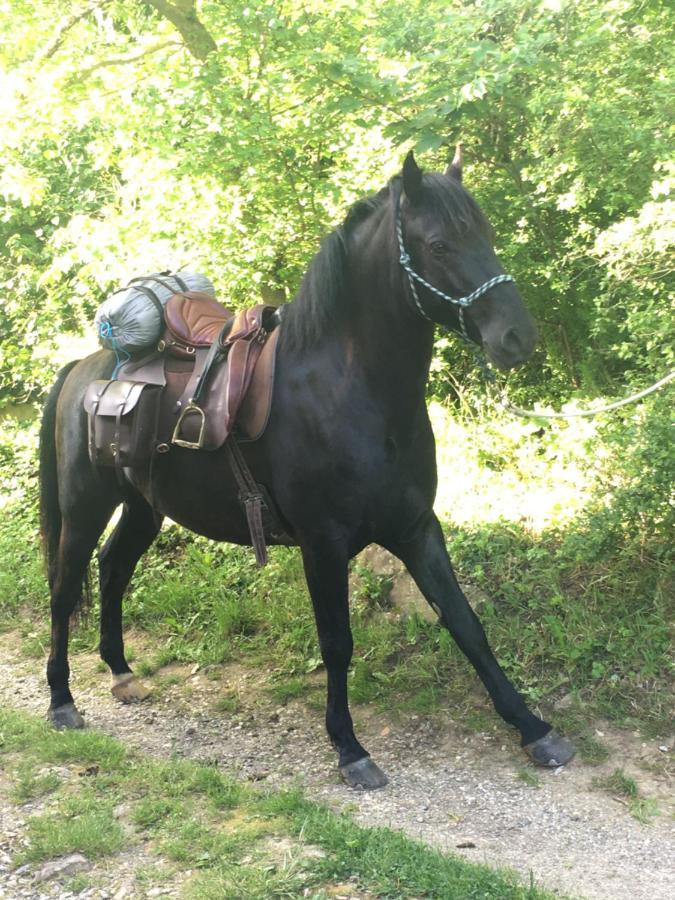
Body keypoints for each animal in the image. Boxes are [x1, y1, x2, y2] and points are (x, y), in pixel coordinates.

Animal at [38, 153, 576, 788]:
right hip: (84, 505)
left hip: (146, 506)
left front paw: (533, 729)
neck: (351, 390)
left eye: (487, 235)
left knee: (114, 567)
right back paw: (61, 700)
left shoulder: (417, 529)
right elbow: (337, 642)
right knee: (65, 584)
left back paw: (121, 672)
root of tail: (84, 367)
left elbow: (466, 623)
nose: (517, 336)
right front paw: (349, 748)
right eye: (439, 244)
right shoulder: (324, 543)